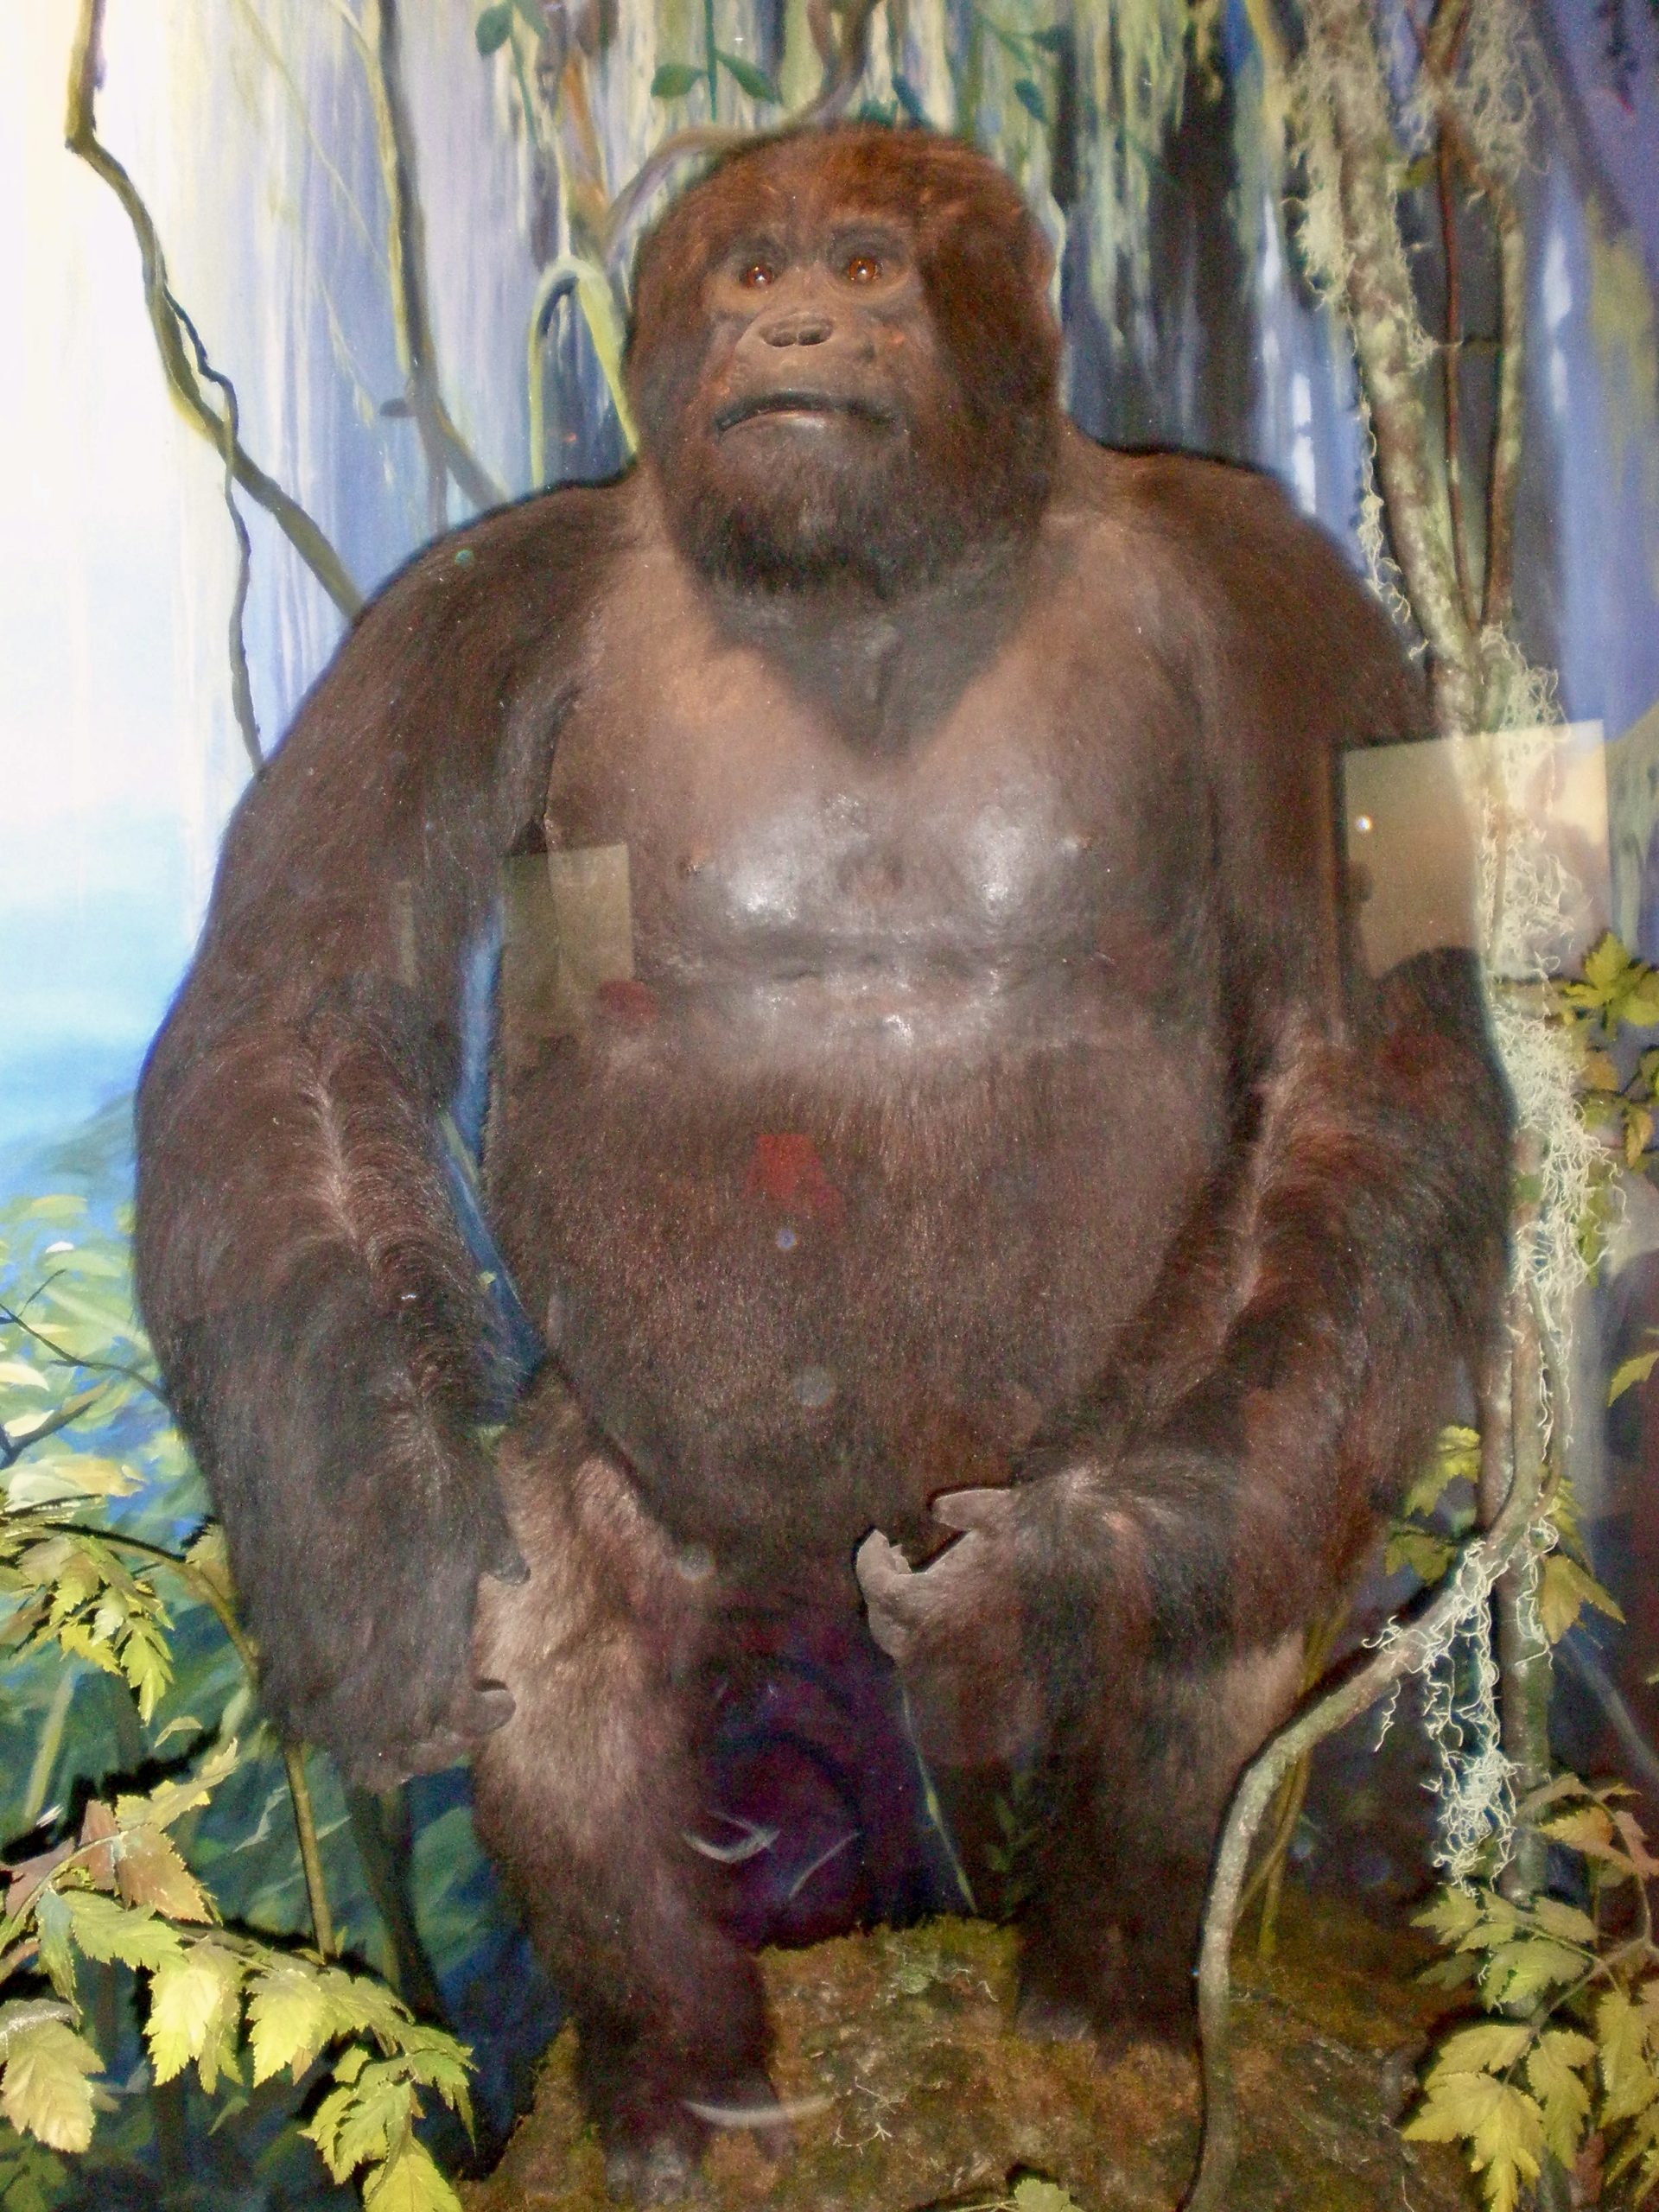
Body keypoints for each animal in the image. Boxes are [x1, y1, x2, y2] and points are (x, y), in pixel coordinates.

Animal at [134, 124, 1510, 2199]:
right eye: (758, 269)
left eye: (866, 269)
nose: (793, 332)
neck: (884, 567)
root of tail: (800, 1550)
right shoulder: (479, 602)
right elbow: (306, 1022)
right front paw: (384, 1567)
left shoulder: (1270, 586)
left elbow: (1362, 1064)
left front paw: (1067, 1582)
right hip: (690, 1482)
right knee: (562, 1632)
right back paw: (682, 2081)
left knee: (1247, 1547)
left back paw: (1104, 1989)